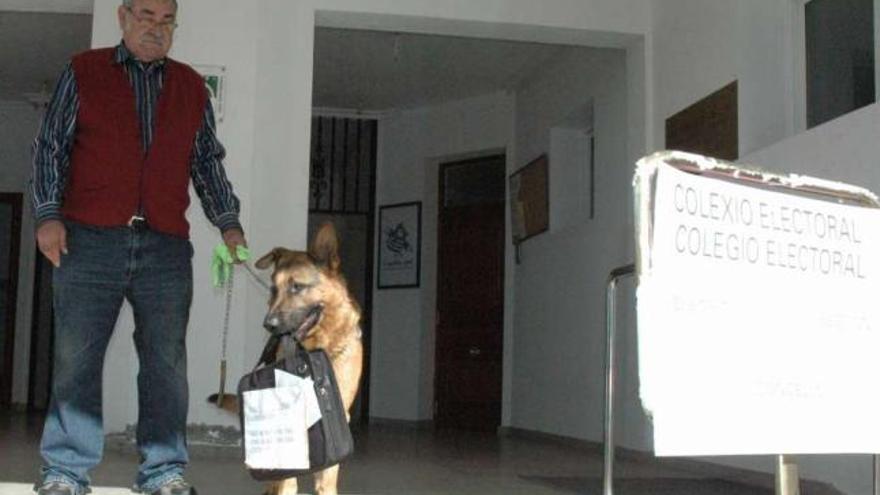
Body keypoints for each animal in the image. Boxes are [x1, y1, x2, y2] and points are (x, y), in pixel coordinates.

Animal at [217, 224, 364, 495]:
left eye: (297, 287)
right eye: (274, 289)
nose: (269, 325)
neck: (320, 345)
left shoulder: (341, 418)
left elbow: (326, 479)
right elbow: (287, 479)